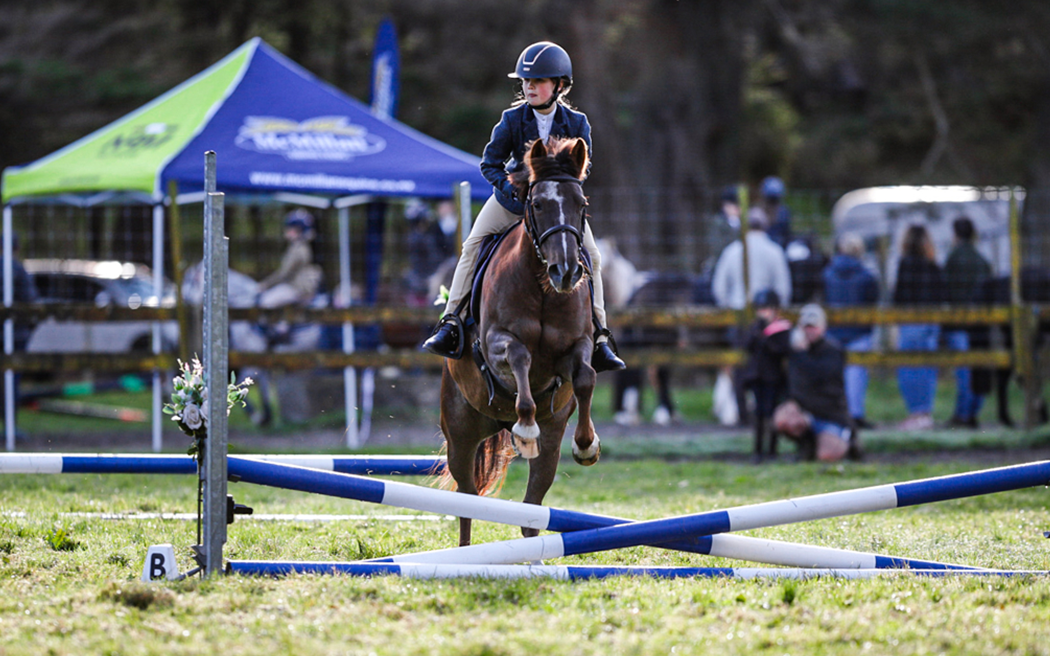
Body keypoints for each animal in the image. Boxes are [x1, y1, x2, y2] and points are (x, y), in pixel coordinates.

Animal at [441, 137, 599, 547]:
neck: (543, 287)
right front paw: (525, 428)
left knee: (532, 508)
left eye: (582, 204)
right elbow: (519, 358)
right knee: (467, 499)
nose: (566, 272)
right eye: (538, 204)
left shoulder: (576, 347)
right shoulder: (497, 342)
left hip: (550, 445)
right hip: (461, 435)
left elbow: (586, 376)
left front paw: (586, 445)